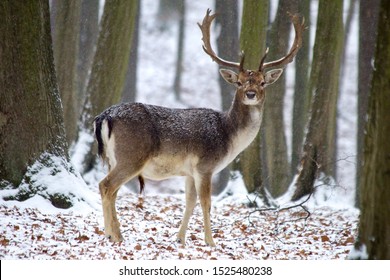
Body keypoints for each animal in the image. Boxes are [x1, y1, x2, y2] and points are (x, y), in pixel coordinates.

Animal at [94, 8, 304, 246]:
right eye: (239, 82)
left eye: (262, 82)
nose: (250, 94)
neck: (229, 136)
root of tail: (104, 116)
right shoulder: (205, 166)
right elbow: (206, 203)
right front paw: (210, 242)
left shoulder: (189, 172)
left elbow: (190, 201)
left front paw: (180, 239)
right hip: (131, 156)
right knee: (106, 186)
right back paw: (112, 235)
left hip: (114, 158)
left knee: (112, 190)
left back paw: (115, 233)